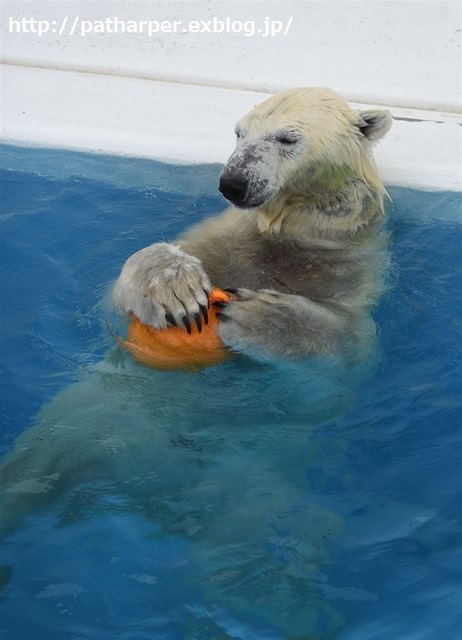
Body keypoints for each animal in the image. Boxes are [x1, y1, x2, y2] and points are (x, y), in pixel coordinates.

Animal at [114, 88, 390, 362]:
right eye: (240, 133)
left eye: (287, 139)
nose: (233, 183)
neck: (293, 233)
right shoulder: (230, 241)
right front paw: (174, 290)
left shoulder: (346, 268)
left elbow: (353, 341)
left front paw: (259, 315)